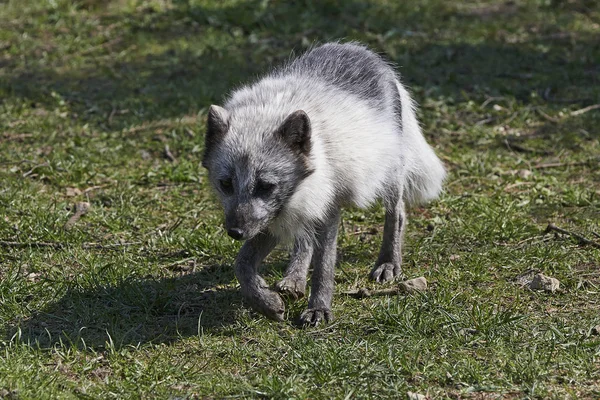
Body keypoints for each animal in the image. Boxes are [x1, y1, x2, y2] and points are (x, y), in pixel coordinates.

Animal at [204, 43, 442, 324]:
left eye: (265, 186)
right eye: (225, 184)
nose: (235, 232)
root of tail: (359, 49)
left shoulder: (324, 209)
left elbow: (324, 266)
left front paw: (319, 308)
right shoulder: (275, 215)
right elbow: (241, 264)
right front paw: (266, 303)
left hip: (390, 173)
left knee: (397, 213)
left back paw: (388, 262)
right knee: (304, 239)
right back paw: (294, 279)